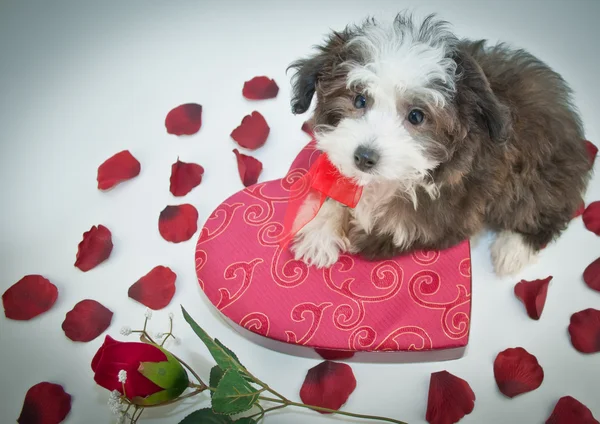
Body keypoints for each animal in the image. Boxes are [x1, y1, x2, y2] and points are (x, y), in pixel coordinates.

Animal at [288, 12, 592, 274]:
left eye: (416, 116)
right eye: (359, 100)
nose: (364, 157)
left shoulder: (448, 214)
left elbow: (394, 227)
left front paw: (357, 222)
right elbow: (336, 190)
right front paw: (320, 230)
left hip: (539, 170)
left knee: (545, 208)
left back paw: (513, 249)